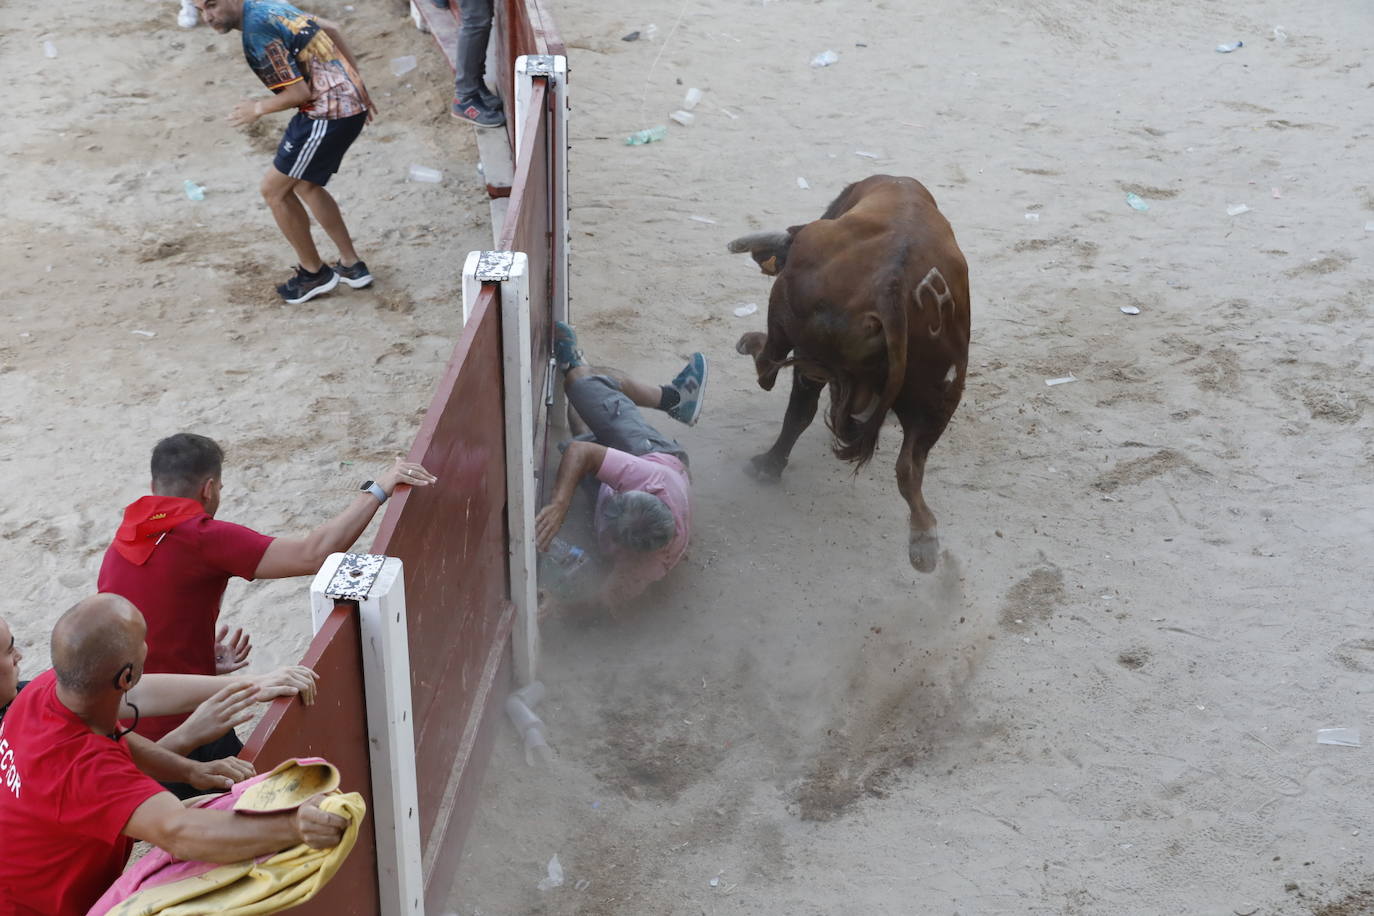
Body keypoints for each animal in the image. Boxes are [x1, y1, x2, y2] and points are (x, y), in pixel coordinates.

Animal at [730, 174, 967, 568]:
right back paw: (924, 541)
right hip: (940, 393)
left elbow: (794, 403)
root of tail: (892, 284)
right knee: (910, 466)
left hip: (792, 327)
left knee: (777, 379)